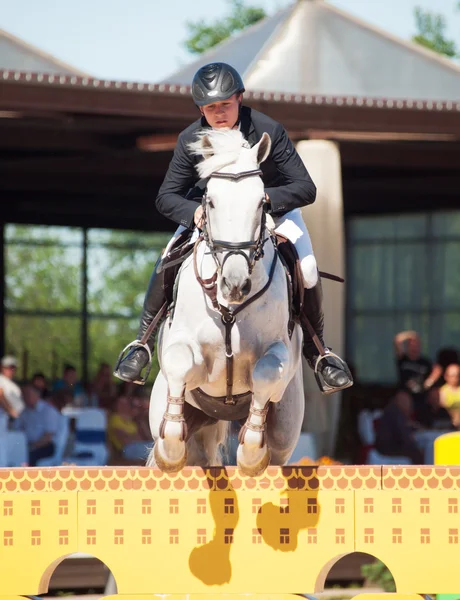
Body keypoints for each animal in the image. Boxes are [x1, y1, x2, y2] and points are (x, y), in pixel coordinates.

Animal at [148, 129, 306, 476]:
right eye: (210, 200)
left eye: (261, 202)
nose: (235, 285)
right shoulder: (185, 350)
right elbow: (179, 364)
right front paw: (170, 449)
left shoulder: (279, 351)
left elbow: (265, 373)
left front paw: (251, 453)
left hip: (286, 430)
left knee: (276, 446)